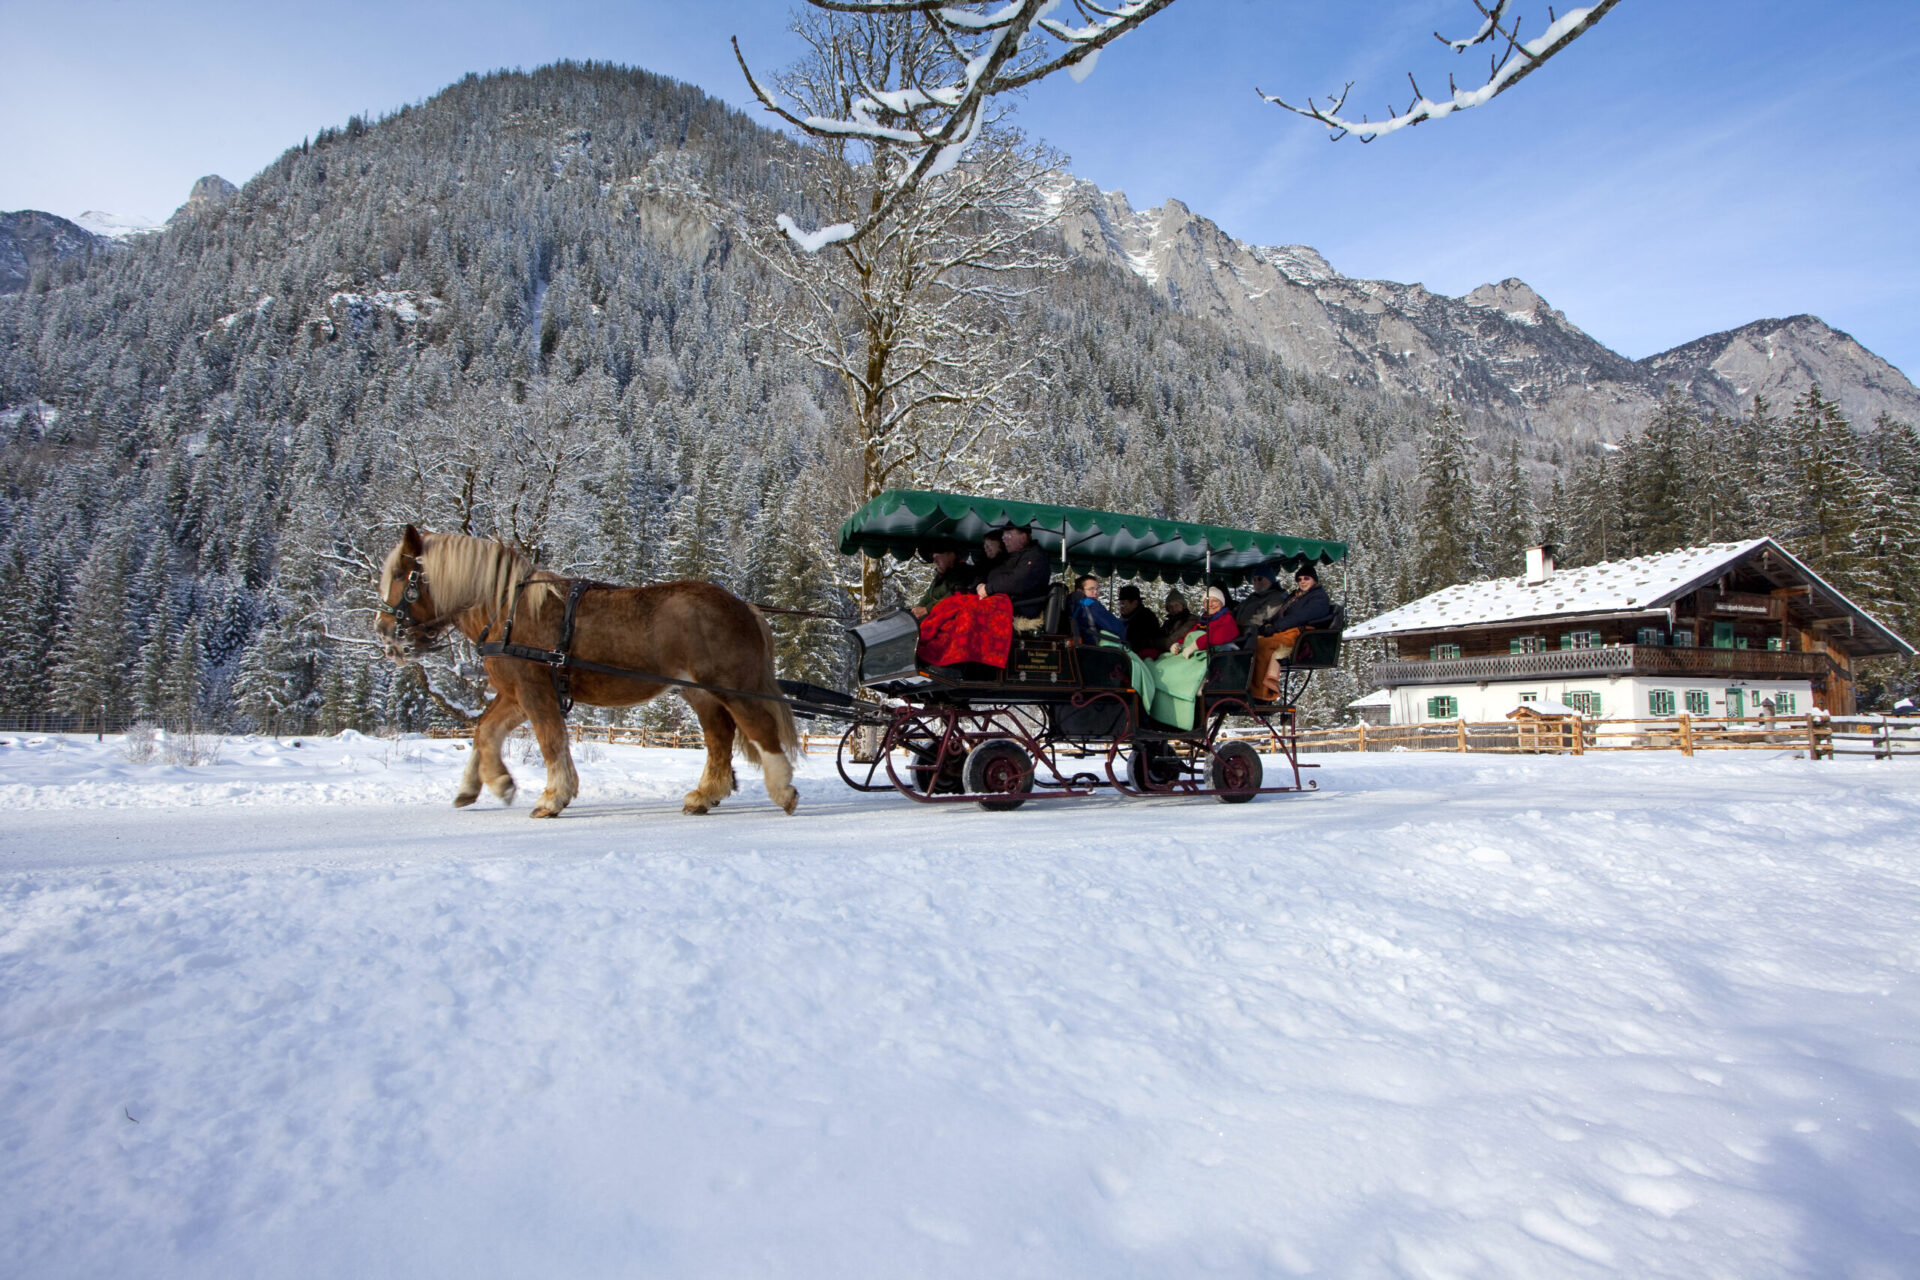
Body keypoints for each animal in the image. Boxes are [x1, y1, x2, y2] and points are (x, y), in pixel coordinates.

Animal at [378, 529, 798, 821]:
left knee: (759, 729)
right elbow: (485, 731)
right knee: (718, 739)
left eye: (401, 574)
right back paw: (704, 795)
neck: (508, 611)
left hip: (732, 687)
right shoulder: (515, 692)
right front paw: (489, 784)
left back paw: (782, 790)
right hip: (701, 693)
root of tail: (742, 605)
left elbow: (550, 741)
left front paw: (552, 797)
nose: (384, 633)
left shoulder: (533, 689)